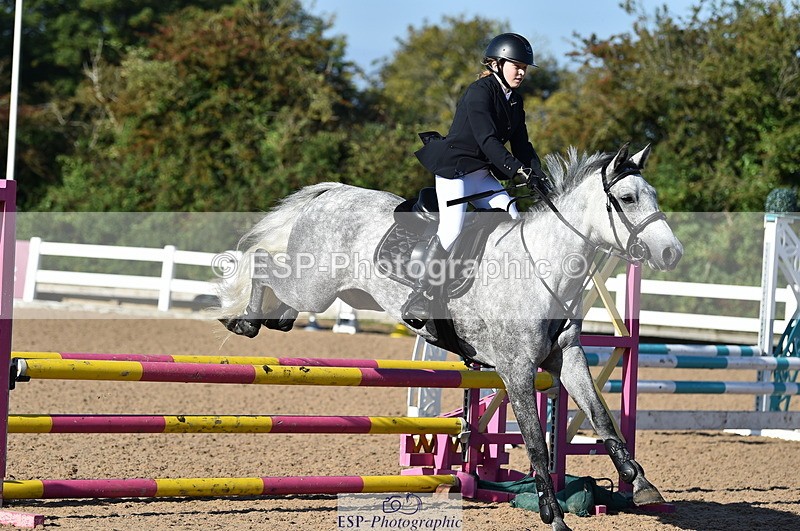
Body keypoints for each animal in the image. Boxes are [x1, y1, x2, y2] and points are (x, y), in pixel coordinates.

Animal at [215, 144, 683, 531]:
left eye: (653, 194)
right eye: (627, 199)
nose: (671, 253)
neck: (544, 268)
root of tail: (332, 193)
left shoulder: (566, 358)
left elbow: (602, 418)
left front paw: (640, 484)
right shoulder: (515, 369)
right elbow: (535, 440)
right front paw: (553, 515)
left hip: (333, 292)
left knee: (280, 295)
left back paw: (268, 318)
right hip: (313, 286)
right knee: (261, 262)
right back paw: (243, 321)